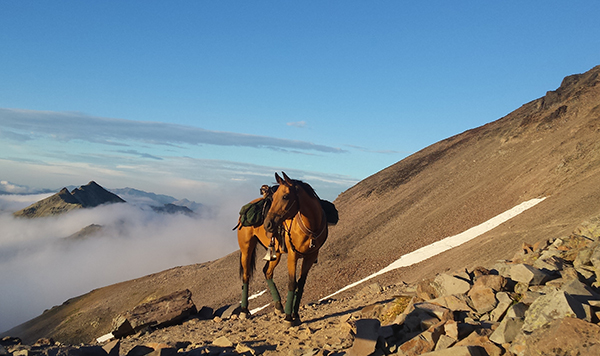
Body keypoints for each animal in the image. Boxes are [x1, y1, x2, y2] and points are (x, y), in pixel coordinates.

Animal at [262, 172, 328, 326]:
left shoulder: (310, 256)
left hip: (277, 254)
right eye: (274, 196)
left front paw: (296, 315)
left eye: (285, 196)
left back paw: (278, 307)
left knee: (267, 272)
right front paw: (288, 318)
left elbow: (301, 284)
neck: (311, 228)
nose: (267, 224)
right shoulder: (293, 255)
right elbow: (292, 284)